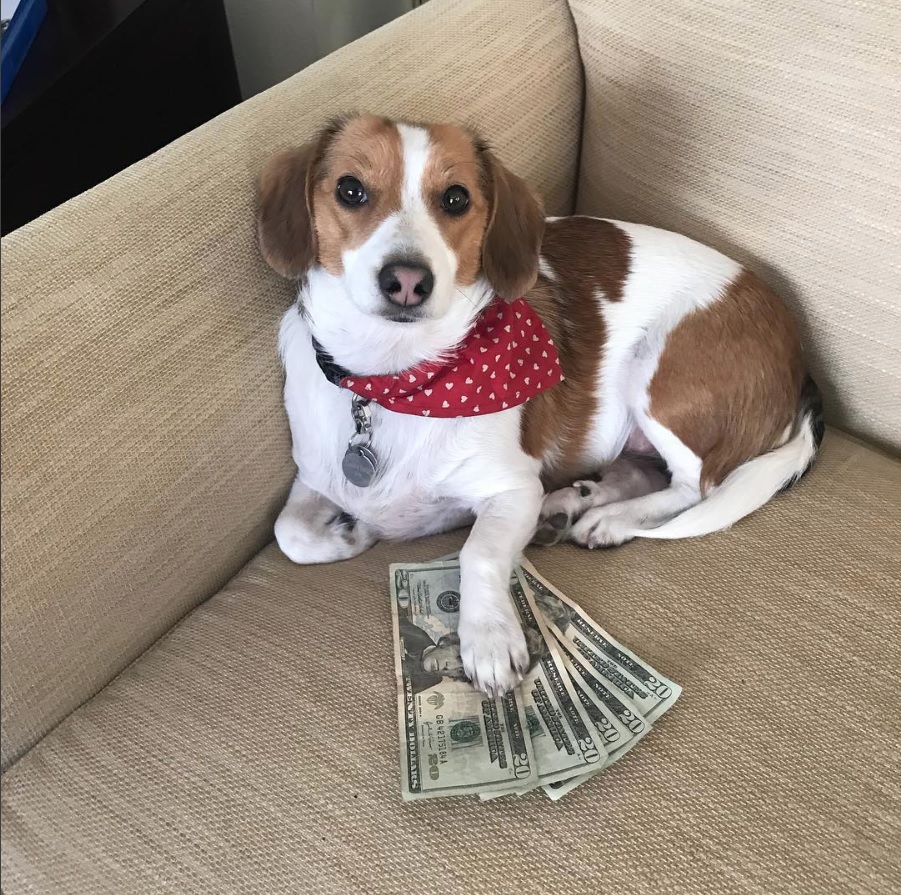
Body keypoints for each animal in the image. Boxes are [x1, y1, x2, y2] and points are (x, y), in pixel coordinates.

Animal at [255, 114, 824, 700]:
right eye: (350, 189)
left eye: (456, 198)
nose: (407, 280)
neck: (401, 382)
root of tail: (802, 362)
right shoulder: (315, 478)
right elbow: (290, 532)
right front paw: (351, 534)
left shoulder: (512, 490)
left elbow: (478, 552)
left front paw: (488, 636)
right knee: (640, 471)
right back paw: (573, 505)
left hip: (658, 373)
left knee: (694, 486)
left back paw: (611, 520)